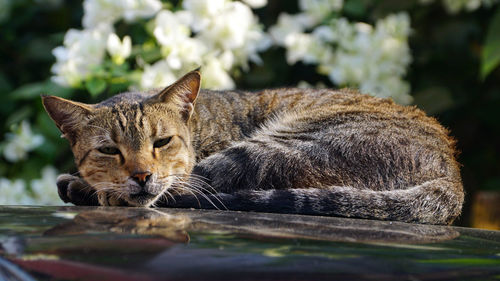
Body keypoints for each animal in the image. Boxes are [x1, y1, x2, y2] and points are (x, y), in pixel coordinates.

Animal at [43, 69, 464, 223]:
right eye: (108, 150)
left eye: (161, 142)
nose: (143, 175)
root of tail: (452, 173)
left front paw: (88, 186)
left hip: (282, 145)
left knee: (194, 190)